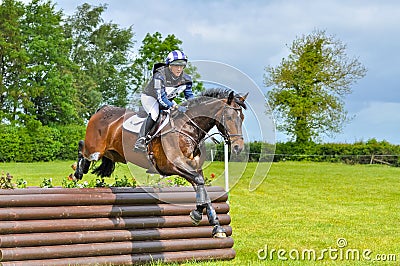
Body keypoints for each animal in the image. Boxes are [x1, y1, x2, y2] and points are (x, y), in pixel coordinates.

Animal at [72, 88, 247, 238]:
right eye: (229, 117)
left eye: (242, 118)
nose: (238, 147)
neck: (188, 128)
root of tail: (102, 109)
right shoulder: (173, 165)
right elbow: (199, 182)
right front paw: (202, 216)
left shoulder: (193, 167)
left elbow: (201, 185)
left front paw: (210, 222)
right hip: (95, 149)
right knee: (82, 146)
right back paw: (78, 172)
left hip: (111, 153)